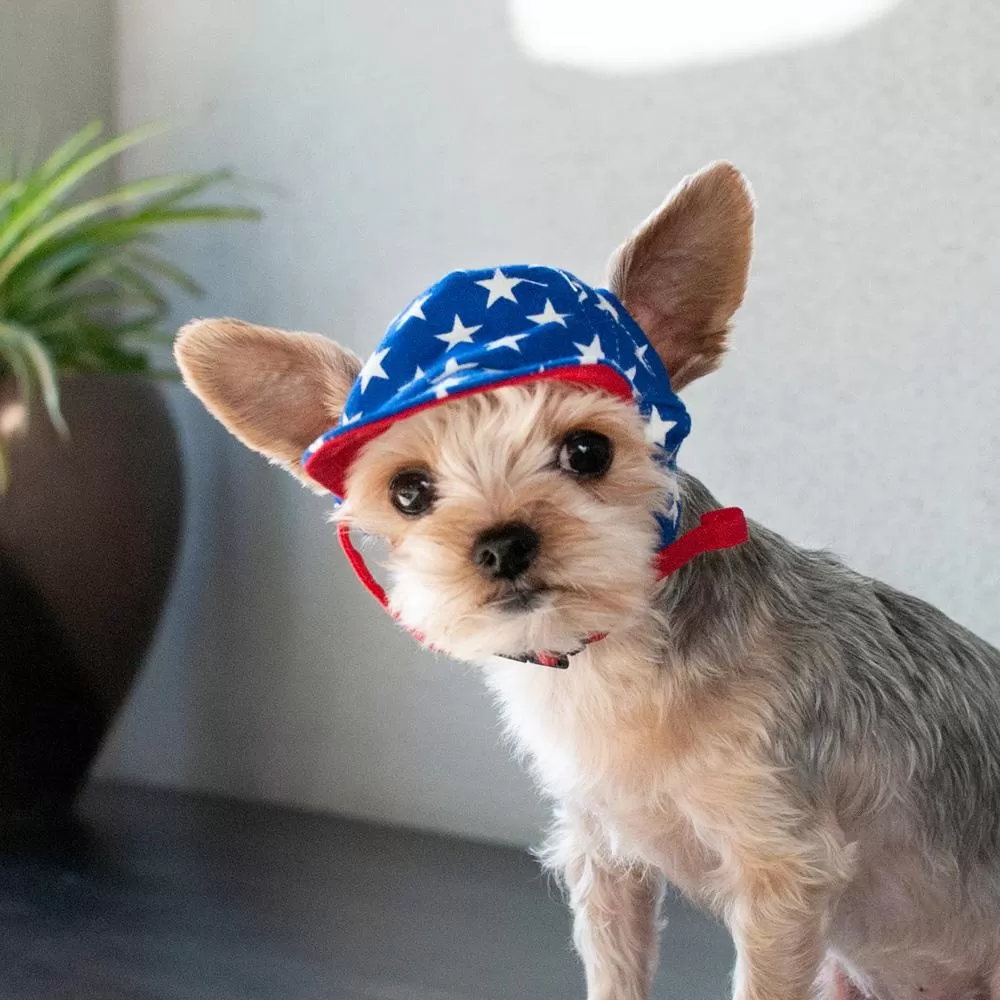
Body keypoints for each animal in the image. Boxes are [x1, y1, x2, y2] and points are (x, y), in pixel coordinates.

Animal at [174, 164, 1000, 1000]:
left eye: (587, 450)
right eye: (408, 490)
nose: (502, 544)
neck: (605, 660)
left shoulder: (780, 872)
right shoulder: (604, 854)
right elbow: (615, 972)